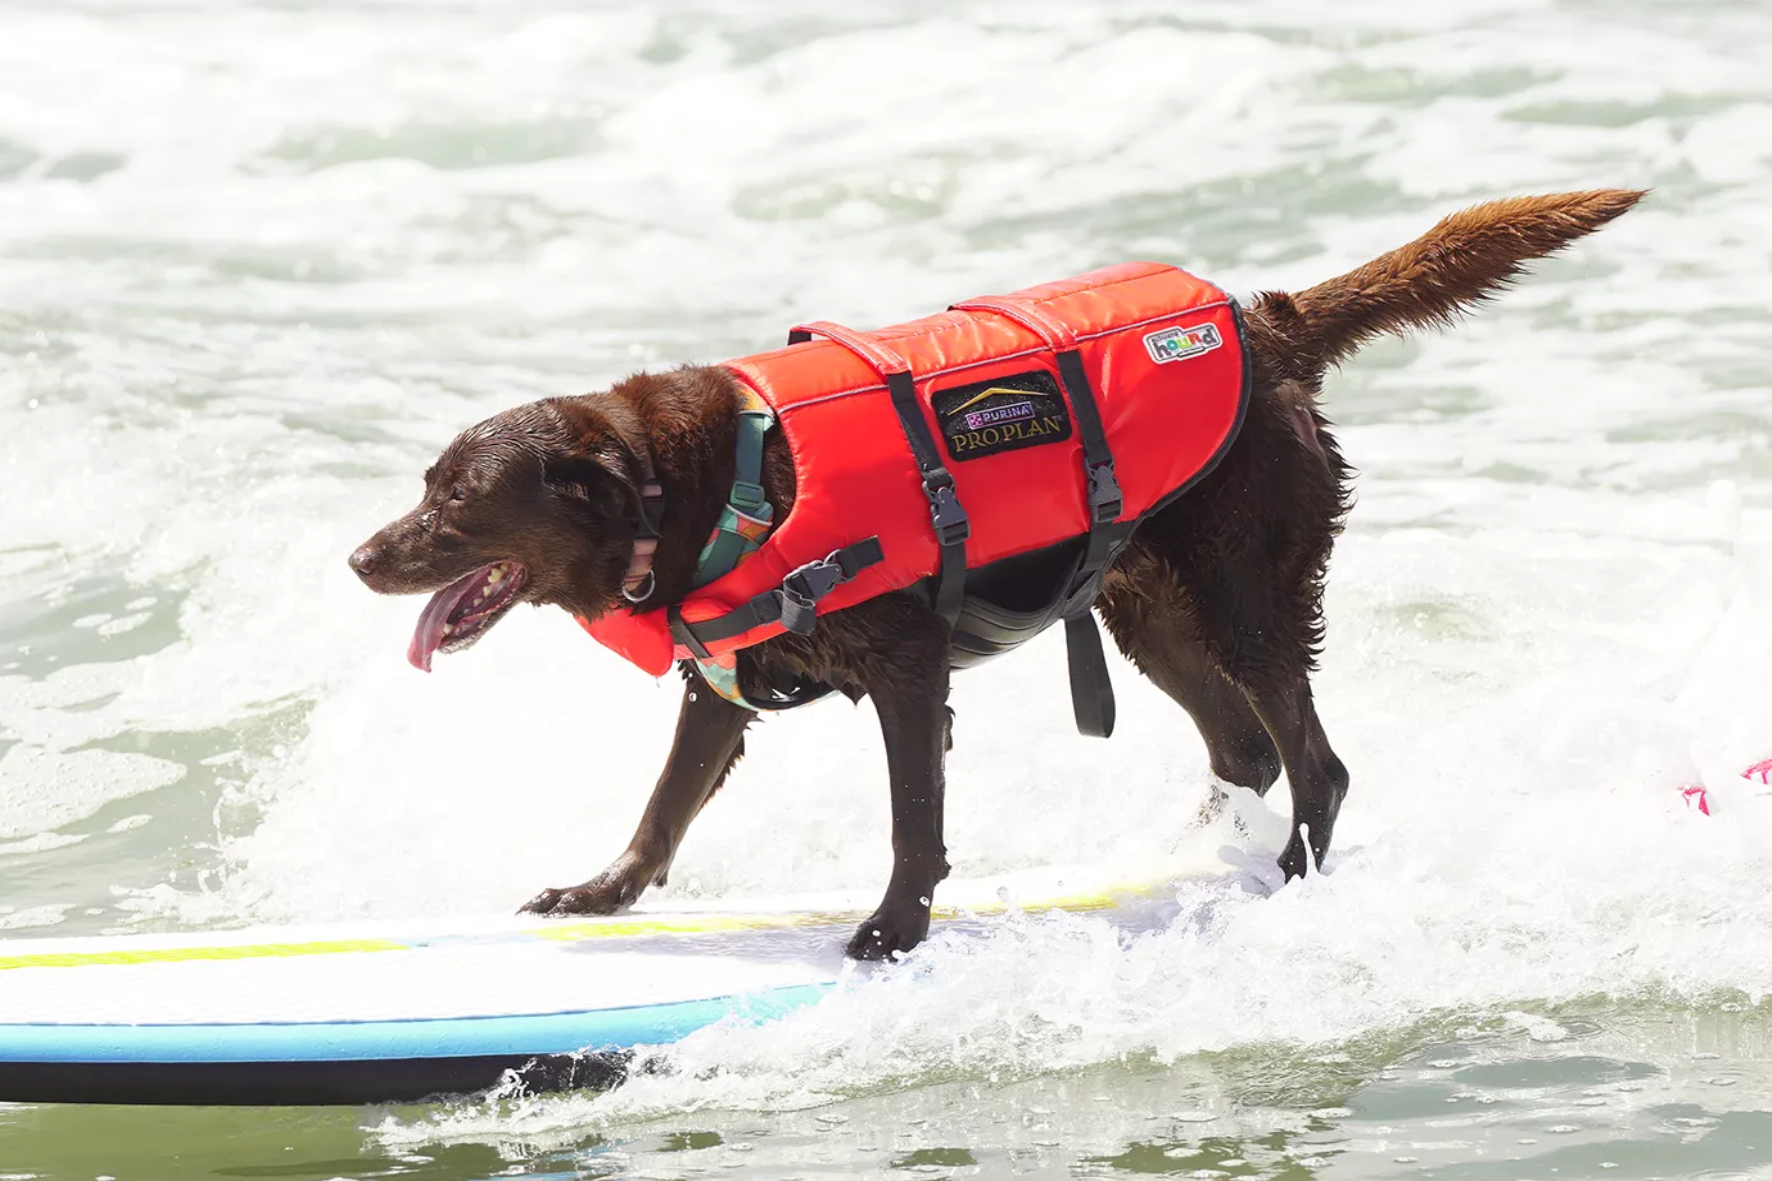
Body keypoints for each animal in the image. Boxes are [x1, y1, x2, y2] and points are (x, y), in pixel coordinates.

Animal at [349, 190, 1644, 957]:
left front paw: (891, 927)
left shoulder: (908, 671)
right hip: (1143, 611)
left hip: (1244, 591)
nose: (360, 556)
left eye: (455, 499)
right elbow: (662, 804)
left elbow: (910, 818)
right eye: (424, 482)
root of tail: (1262, 323)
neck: (710, 482)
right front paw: (599, 894)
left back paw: (1286, 870)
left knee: (1312, 757)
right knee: (1245, 748)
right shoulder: (716, 686)